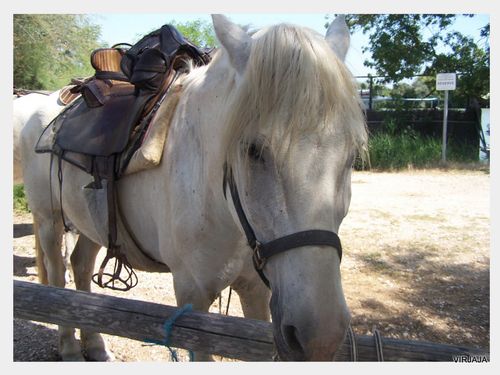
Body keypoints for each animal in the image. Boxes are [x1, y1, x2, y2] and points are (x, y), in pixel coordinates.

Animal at [19, 14, 368, 362]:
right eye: (253, 150)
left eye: (352, 153)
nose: (321, 337)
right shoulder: (193, 298)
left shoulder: (255, 291)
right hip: (49, 221)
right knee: (57, 275)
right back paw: (69, 348)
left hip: (94, 224)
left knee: (80, 266)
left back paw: (94, 345)